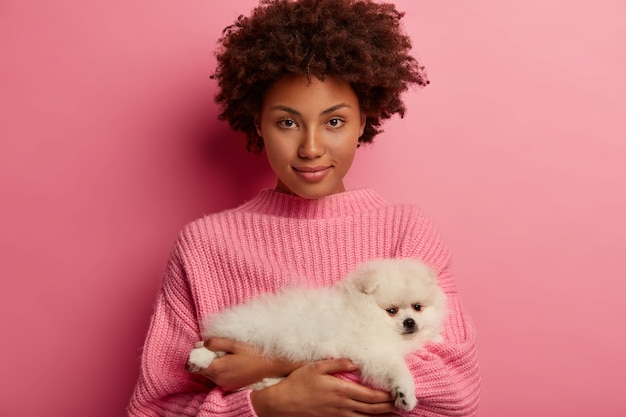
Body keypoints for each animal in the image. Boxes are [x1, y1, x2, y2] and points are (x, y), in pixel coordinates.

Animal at [185, 256, 444, 410]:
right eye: (392, 311)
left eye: (418, 307)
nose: (410, 322)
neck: (365, 311)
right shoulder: (372, 351)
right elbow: (397, 368)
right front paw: (405, 394)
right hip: (247, 332)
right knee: (212, 347)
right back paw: (199, 359)